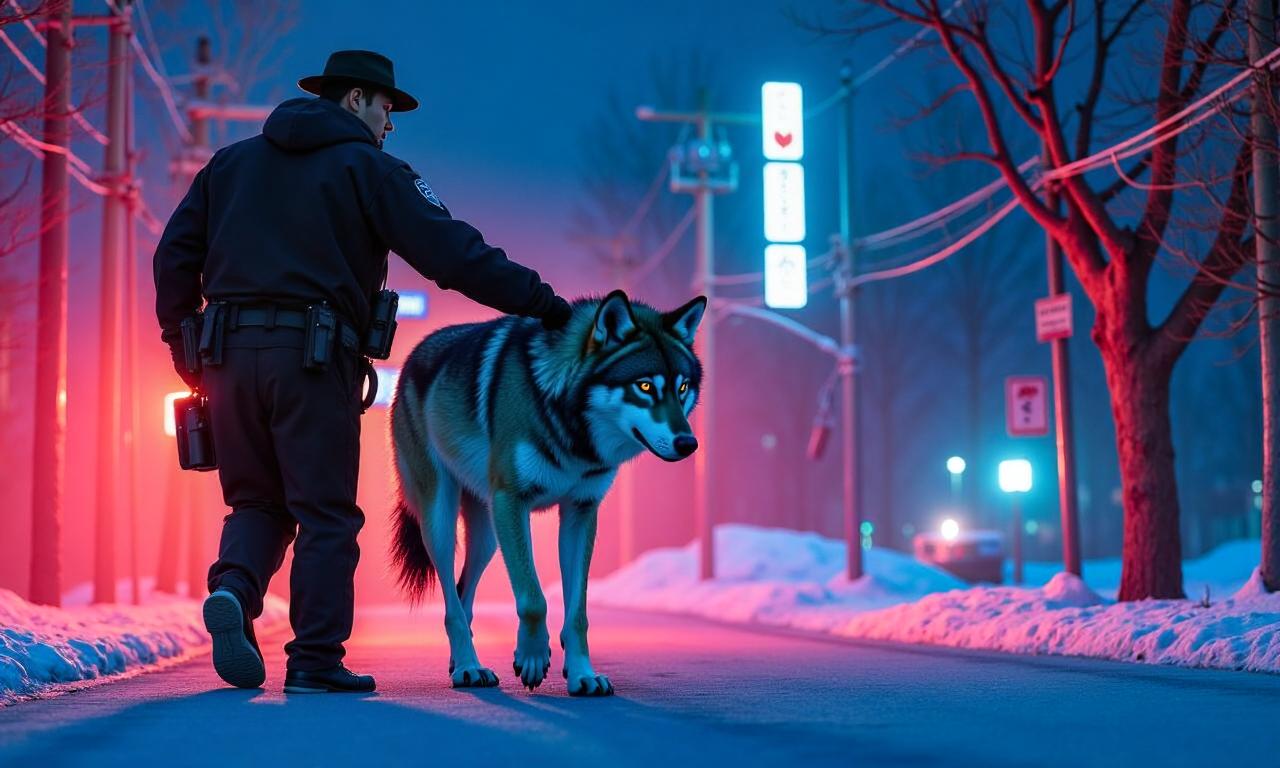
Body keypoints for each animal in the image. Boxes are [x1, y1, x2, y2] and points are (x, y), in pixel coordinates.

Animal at [388, 289, 705, 696]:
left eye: (682, 388)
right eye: (646, 386)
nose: (689, 444)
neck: (574, 435)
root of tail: (416, 352)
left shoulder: (581, 511)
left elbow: (579, 612)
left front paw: (584, 675)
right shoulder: (512, 502)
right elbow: (533, 598)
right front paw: (532, 658)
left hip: (488, 536)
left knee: (462, 595)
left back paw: (464, 663)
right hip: (444, 523)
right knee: (450, 603)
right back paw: (469, 668)